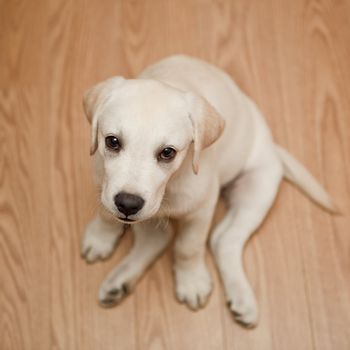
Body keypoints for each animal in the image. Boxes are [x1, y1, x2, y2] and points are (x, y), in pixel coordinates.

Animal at [80, 54, 334, 328]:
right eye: (112, 142)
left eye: (167, 152)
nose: (128, 203)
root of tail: (272, 147)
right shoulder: (102, 182)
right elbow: (106, 215)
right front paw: (100, 238)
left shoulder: (201, 210)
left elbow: (188, 247)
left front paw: (191, 282)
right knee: (160, 238)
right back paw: (119, 282)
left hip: (257, 190)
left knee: (224, 240)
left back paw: (242, 299)